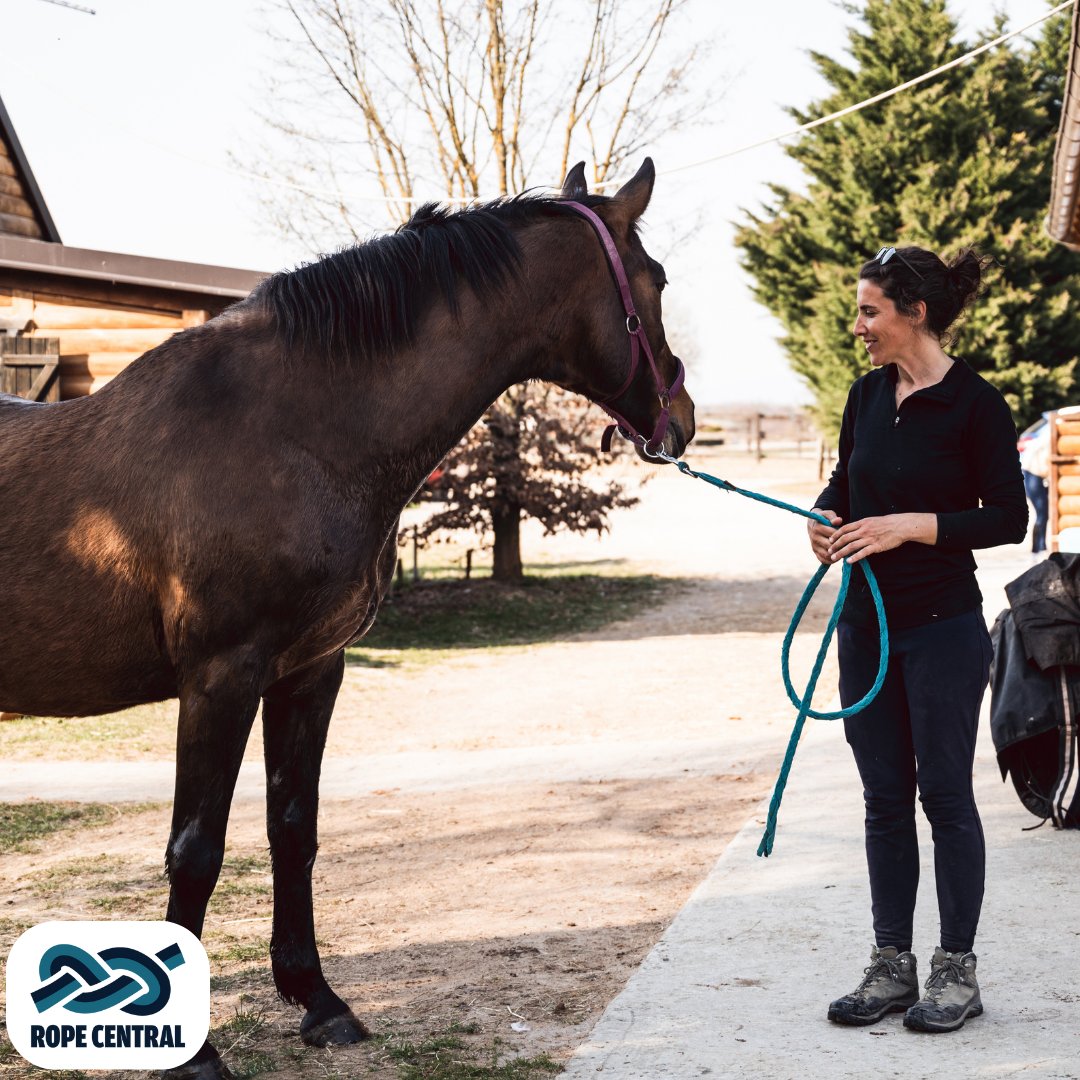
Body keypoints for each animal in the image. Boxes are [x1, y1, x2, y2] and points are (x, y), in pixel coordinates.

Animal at [0, 159, 694, 1078]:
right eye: (657, 279)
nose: (682, 420)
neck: (290, 431)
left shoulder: (308, 670)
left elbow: (293, 829)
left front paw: (318, 1001)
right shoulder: (220, 679)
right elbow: (197, 849)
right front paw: (196, 1053)